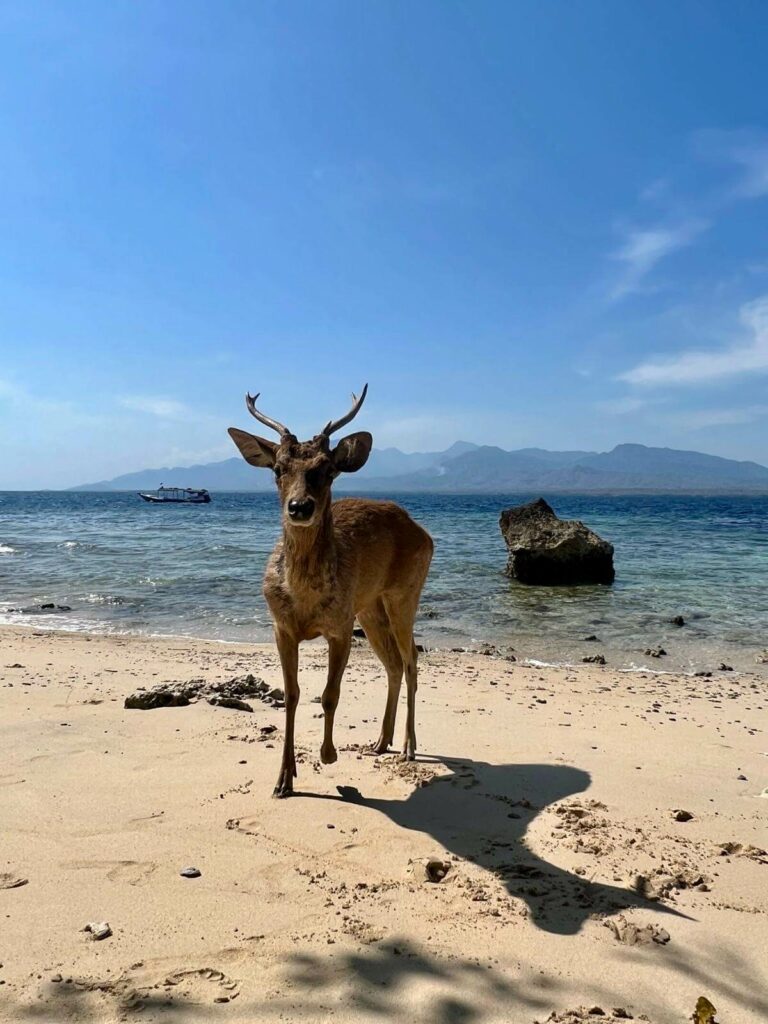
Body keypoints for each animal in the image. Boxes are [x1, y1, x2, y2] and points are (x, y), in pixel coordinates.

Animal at [227, 387, 434, 794]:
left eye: (326, 469)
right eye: (278, 468)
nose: (299, 506)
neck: (304, 600)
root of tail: (423, 532)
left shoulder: (339, 626)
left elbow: (329, 694)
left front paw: (328, 754)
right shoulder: (281, 627)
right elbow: (291, 695)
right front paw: (284, 779)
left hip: (405, 593)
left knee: (411, 661)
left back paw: (408, 746)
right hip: (369, 607)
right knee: (393, 664)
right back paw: (380, 741)